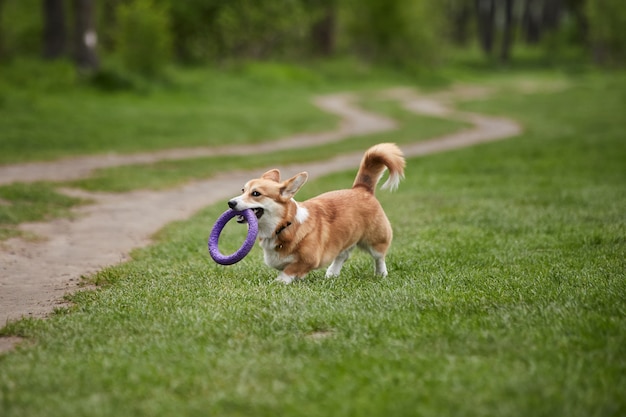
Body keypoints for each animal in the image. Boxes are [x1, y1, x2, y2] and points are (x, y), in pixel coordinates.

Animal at [229, 142, 404, 282]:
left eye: (256, 193)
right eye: (243, 190)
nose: (230, 203)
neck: (285, 225)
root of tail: (361, 189)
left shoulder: (309, 259)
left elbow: (289, 271)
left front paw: (279, 282)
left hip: (376, 239)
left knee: (379, 256)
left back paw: (381, 274)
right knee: (343, 255)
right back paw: (332, 273)